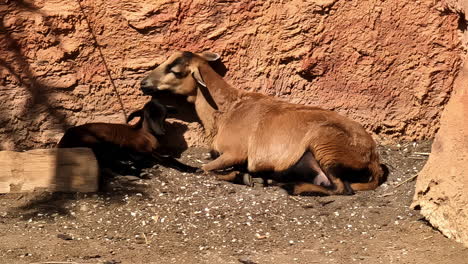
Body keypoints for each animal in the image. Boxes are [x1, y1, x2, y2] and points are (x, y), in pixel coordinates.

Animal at [57, 98, 197, 174]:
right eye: (148, 115)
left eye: (165, 115)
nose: (161, 132)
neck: (145, 135)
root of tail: (63, 141)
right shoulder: (133, 148)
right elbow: (165, 159)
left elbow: (166, 158)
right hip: (96, 143)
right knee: (105, 162)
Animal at [140, 52, 388, 196]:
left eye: (175, 70)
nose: (143, 84)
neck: (228, 110)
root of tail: (373, 158)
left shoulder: (235, 153)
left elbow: (202, 169)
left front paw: (243, 177)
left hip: (326, 146)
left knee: (342, 188)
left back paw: (289, 187)